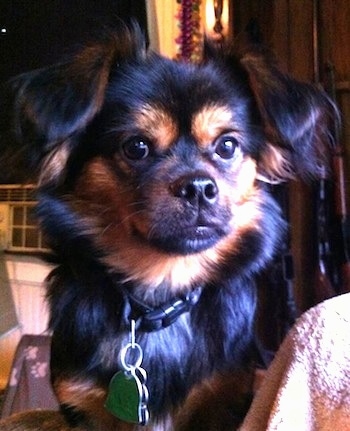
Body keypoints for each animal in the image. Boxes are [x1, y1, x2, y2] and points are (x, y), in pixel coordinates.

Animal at [0, 24, 336, 431]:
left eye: (227, 146)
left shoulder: (223, 399)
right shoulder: (81, 407)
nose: (198, 187)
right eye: (136, 147)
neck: (159, 298)